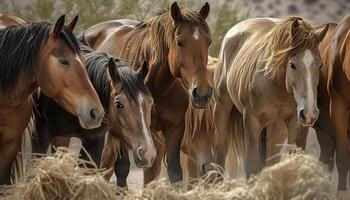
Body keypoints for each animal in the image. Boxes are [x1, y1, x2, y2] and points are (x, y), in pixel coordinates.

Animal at [79, 1, 212, 184]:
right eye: (180, 42)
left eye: (209, 42)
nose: (202, 94)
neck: (158, 87)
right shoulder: (123, 128)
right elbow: (122, 169)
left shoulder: (174, 129)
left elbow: (174, 171)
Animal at [212, 16, 330, 177]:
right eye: (292, 65)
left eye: (320, 65)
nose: (309, 113)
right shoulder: (251, 119)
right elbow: (252, 165)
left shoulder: (296, 124)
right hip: (222, 105)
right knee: (221, 149)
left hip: (276, 128)